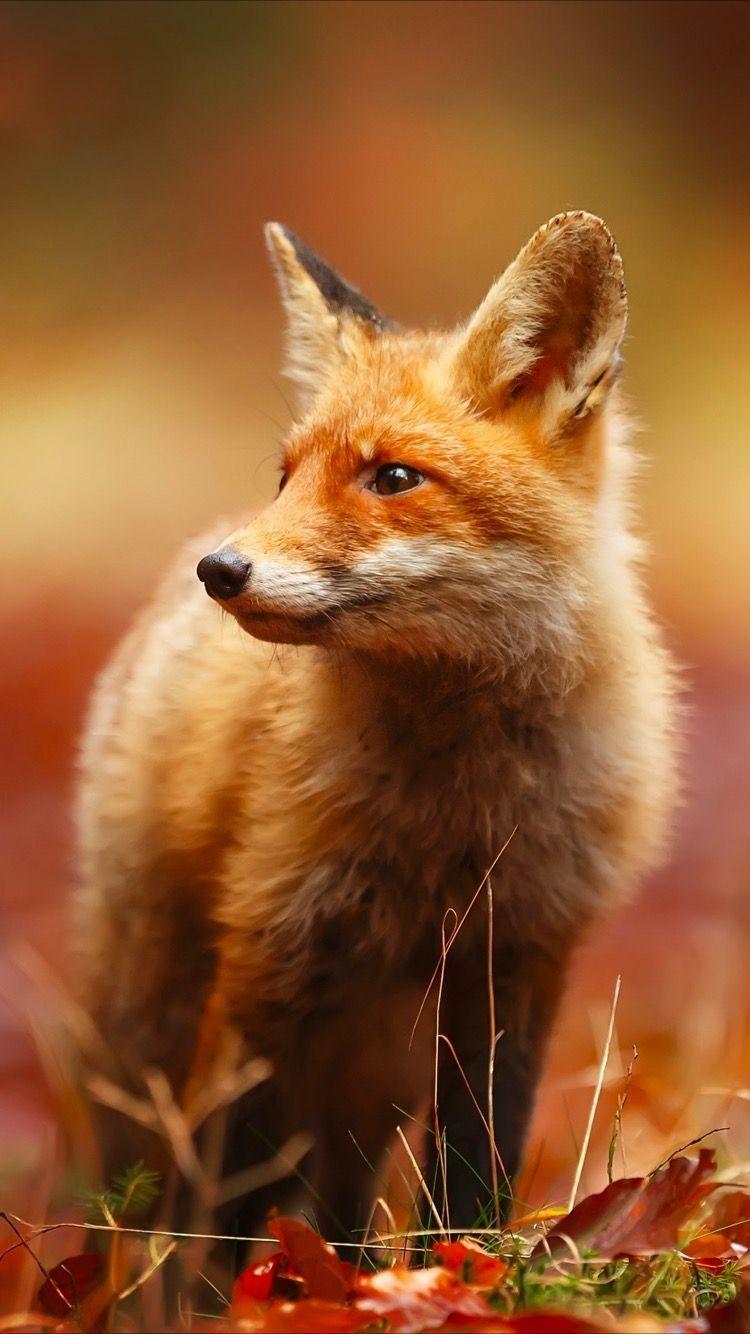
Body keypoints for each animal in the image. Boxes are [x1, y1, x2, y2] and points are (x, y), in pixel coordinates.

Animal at [76, 212, 677, 1241]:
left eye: (393, 477)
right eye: (287, 477)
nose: (220, 570)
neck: (452, 812)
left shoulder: (516, 957)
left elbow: (477, 1163)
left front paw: (460, 1261)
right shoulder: (270, 950)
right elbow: (229, 1193)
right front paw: (226, 1281)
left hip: (376, 1070)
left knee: (344, 1194)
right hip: (170, 1012)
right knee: (163, 1177)